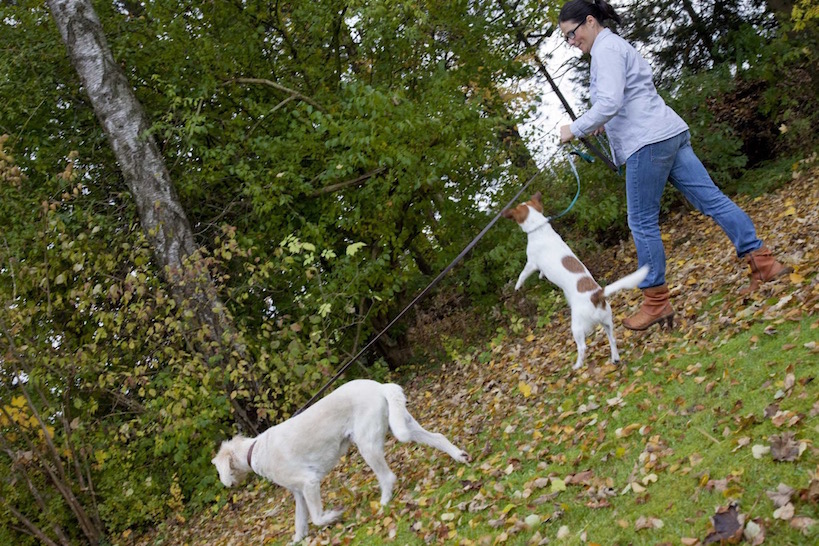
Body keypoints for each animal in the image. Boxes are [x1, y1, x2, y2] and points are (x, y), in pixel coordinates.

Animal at [213, 376, 468, 540]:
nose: (226, 485)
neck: (254, 451)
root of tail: (380, 387)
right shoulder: (298, 494)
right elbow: (300, 523)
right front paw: (298, 539)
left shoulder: (309, 483)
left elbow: (316, 518)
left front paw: (334, 516)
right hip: (404, 425)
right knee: (437, 437)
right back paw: (460, 457)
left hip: (367, 445)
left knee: (388, 477)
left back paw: (383, 503)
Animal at [502, 191, 652, 370]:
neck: (540, 228)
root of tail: (597, 295)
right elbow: (541, 273)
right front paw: (540, 276)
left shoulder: (531, 263)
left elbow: (522, 274)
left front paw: (518, 286)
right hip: (607, 322)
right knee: (613, 339)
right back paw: (615, 358)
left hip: (577, 326)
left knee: (582, 347)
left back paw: (577, 366)